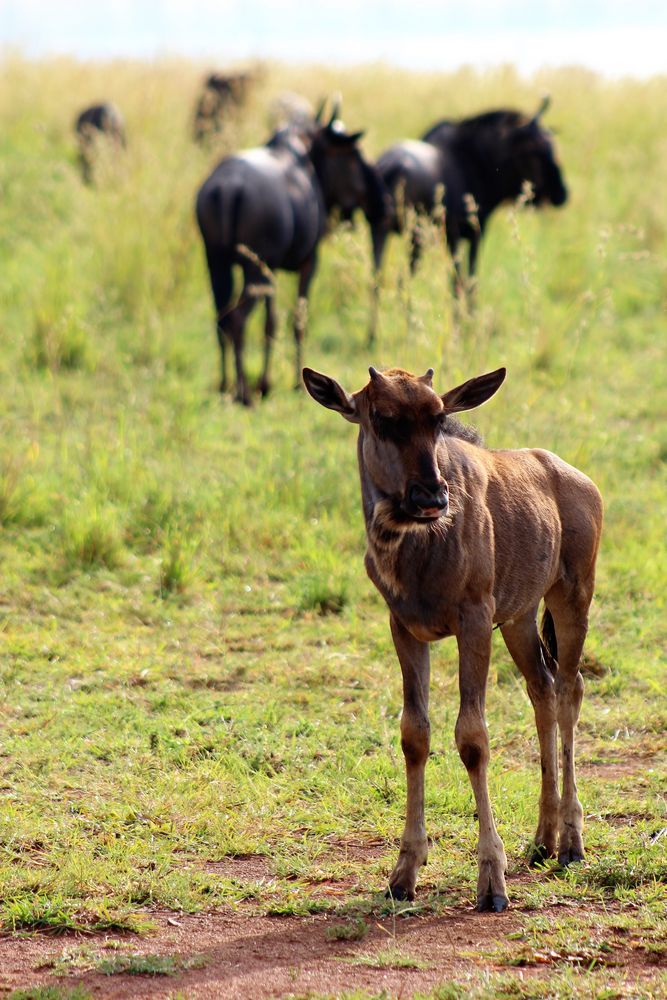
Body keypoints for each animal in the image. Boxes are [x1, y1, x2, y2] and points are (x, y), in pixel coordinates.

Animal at [306, 364, 604, 912]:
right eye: (383, 419)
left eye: (439, 417)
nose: (431, 497)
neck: (419, 549)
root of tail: (578, 479)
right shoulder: (404, 628)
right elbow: (414, 734)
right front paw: (403, 873)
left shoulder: (474, 621)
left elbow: (472, 738)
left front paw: (492, 881)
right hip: (520, 618)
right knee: (543, 690)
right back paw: (542, 840)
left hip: (572, 597)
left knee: (570, 690)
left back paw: (571, 843)